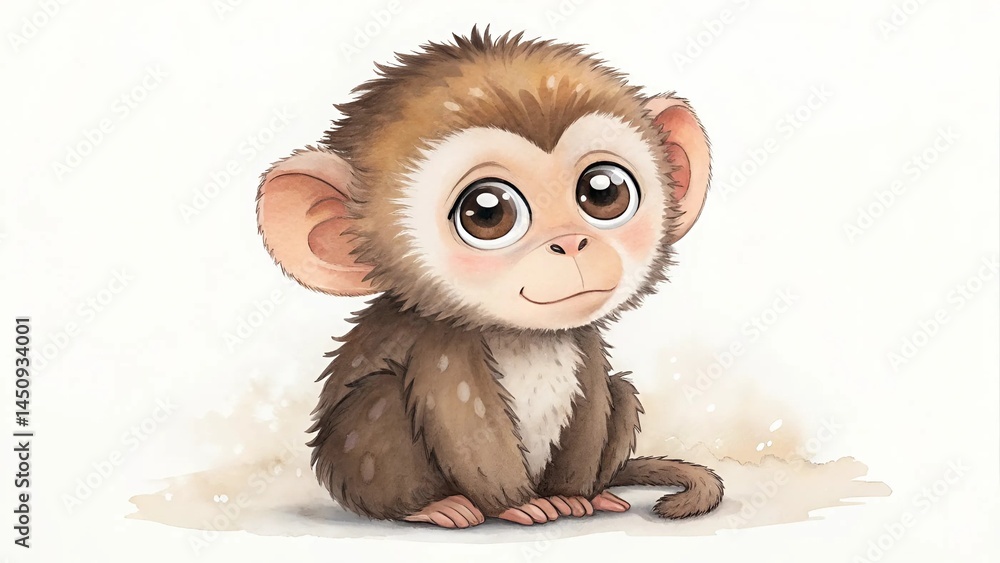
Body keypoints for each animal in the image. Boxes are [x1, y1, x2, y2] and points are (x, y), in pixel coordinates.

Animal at [256, 28, 723, 528]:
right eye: (487, 212)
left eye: (603, 192)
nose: (571, 243)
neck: (523, 337)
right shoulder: (440, 346)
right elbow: (465, 424)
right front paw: (518, 504)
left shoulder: (583, 337)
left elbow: (597, 396)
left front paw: (571, 496)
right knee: (379, 395)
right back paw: (431, 506)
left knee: (622, 389)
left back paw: (596, 494)